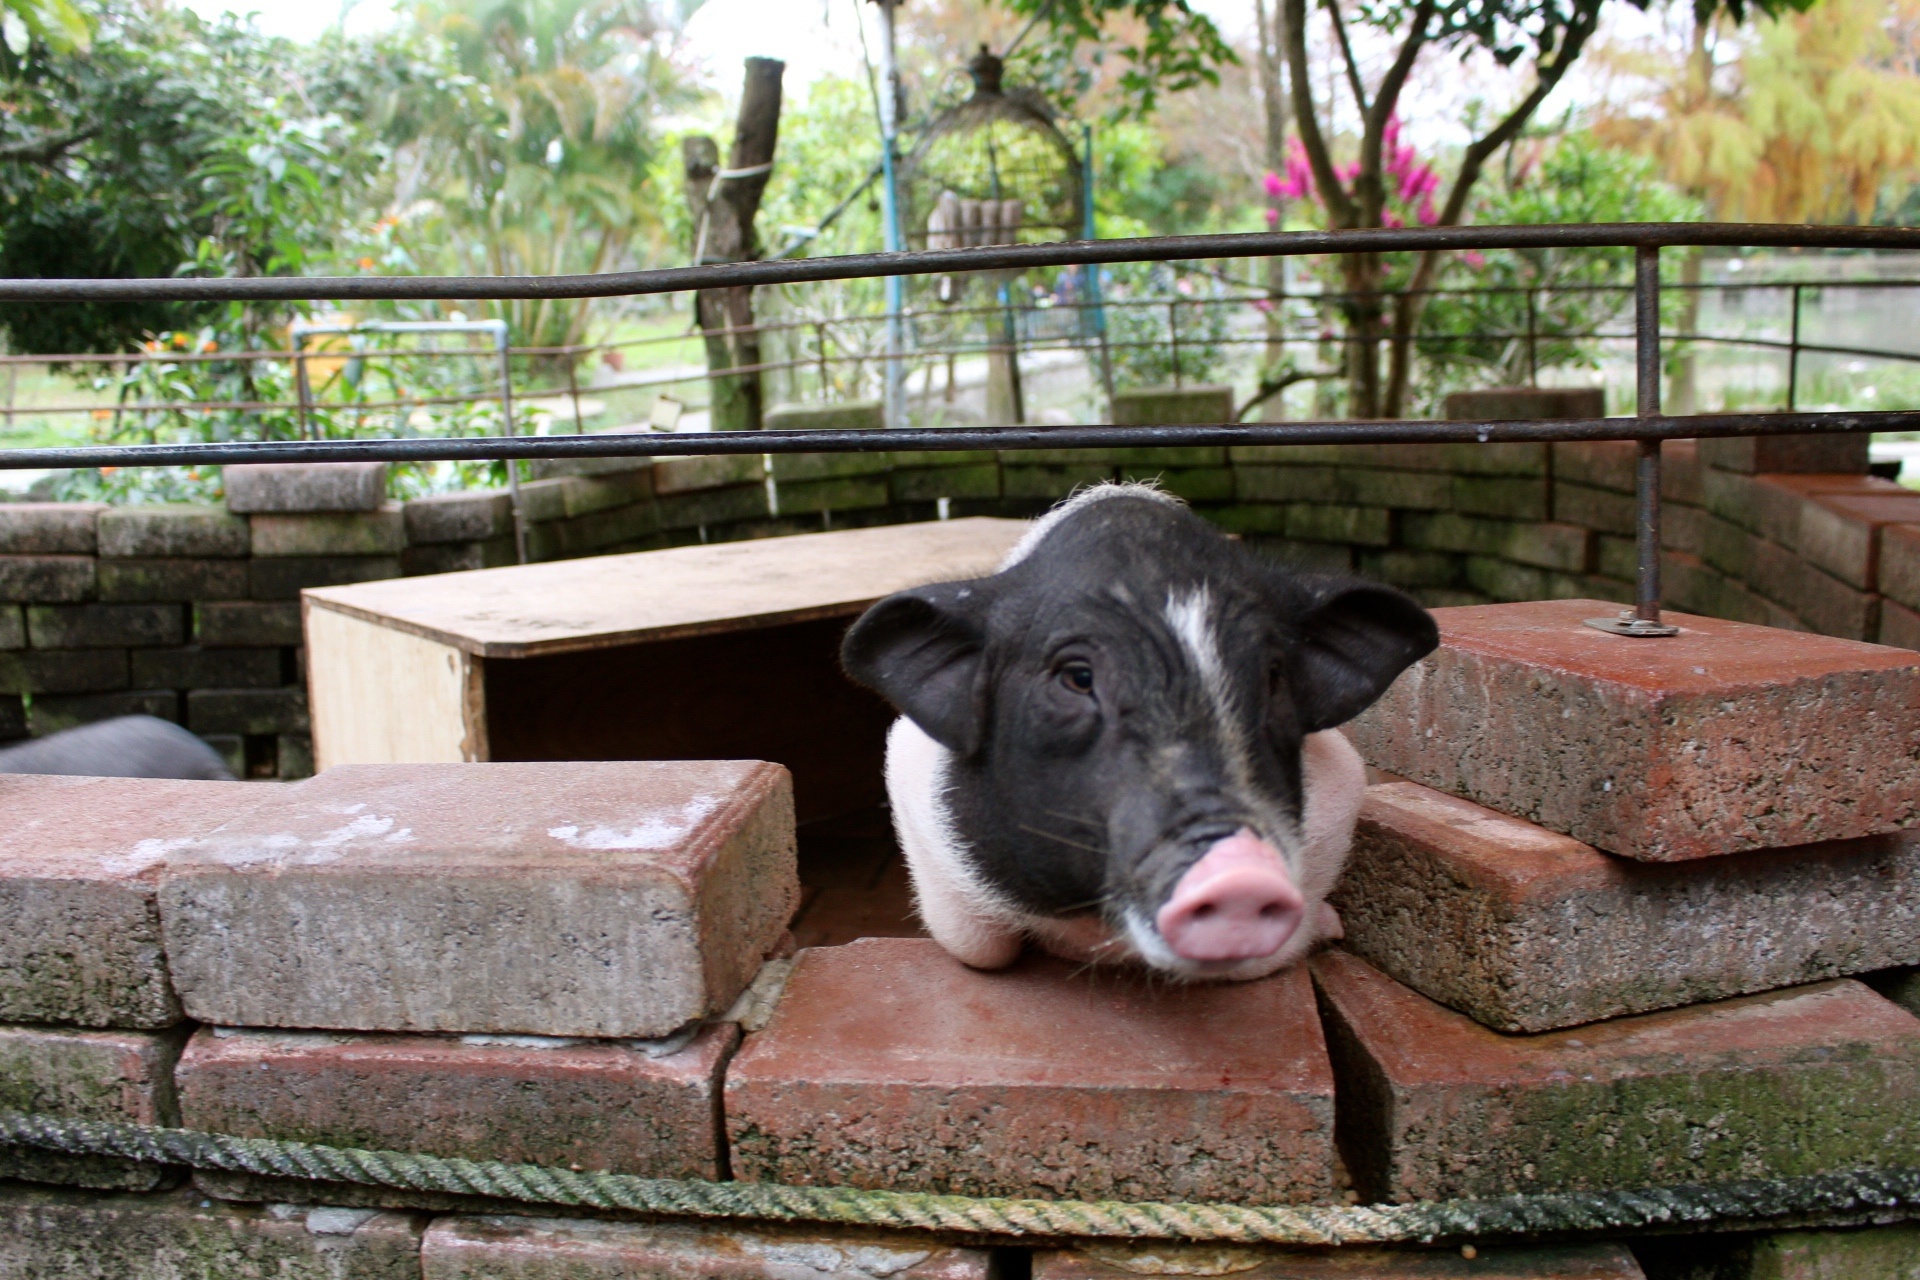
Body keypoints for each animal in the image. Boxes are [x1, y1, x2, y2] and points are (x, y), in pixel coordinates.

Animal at [844, 483, 1443, 982]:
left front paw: (1329, 926)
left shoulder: (1342, 789)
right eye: (1077, 677)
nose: (1238, 872)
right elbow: (980, 950)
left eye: (1274, 676)